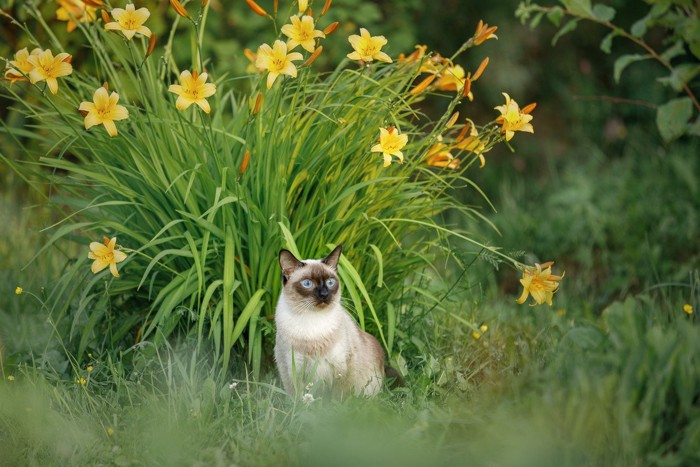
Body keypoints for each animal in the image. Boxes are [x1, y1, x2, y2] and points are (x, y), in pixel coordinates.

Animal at [274, 245, 386, 398]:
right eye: (307, 283)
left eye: (330, 282)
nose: (324, 294)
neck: (313, 322)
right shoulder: (293, 369)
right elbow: (297, 399)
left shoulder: (342, 368)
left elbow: (336, 400)